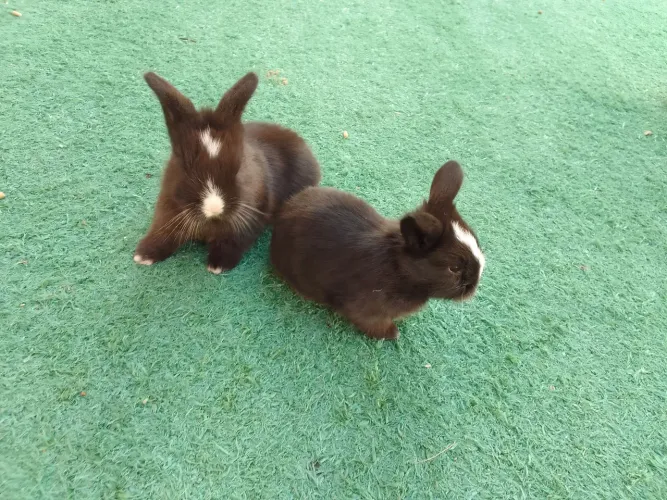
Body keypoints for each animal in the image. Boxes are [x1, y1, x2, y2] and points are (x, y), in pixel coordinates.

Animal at [133, 71, 321, 273]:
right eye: (184, 166)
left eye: (238, 167)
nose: (214, 207)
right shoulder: (168, 213)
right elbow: (163, 234)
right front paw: (143, 255)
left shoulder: (249, 219)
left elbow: (233, 243)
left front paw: (217, 265)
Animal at [270, 160, 485, 340]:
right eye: (454, 268)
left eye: (477, 242)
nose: (474, 287)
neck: (399, 269)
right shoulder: (364, 311)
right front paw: (392, 333)